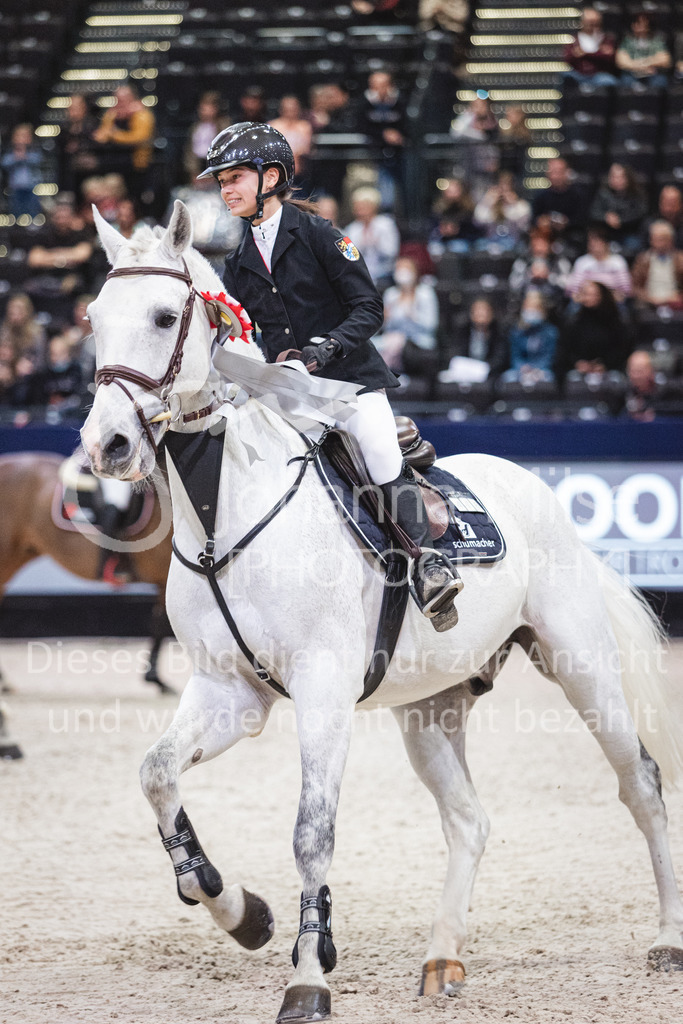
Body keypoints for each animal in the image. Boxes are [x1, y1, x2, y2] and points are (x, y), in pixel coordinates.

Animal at [79, 200, 683, 1023]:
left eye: (165, 316)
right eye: (94, 318)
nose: (105, 444)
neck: (226, 509)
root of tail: (536, 489)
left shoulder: (323, 690)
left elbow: (311, 833)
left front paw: (308, 976)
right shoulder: (230, 692)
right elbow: (156, 774)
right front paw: (240, 911)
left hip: (581, 668)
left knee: (640, 784)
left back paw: (666, 940)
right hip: (430, 708)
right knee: (468, 821)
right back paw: (441, 960)